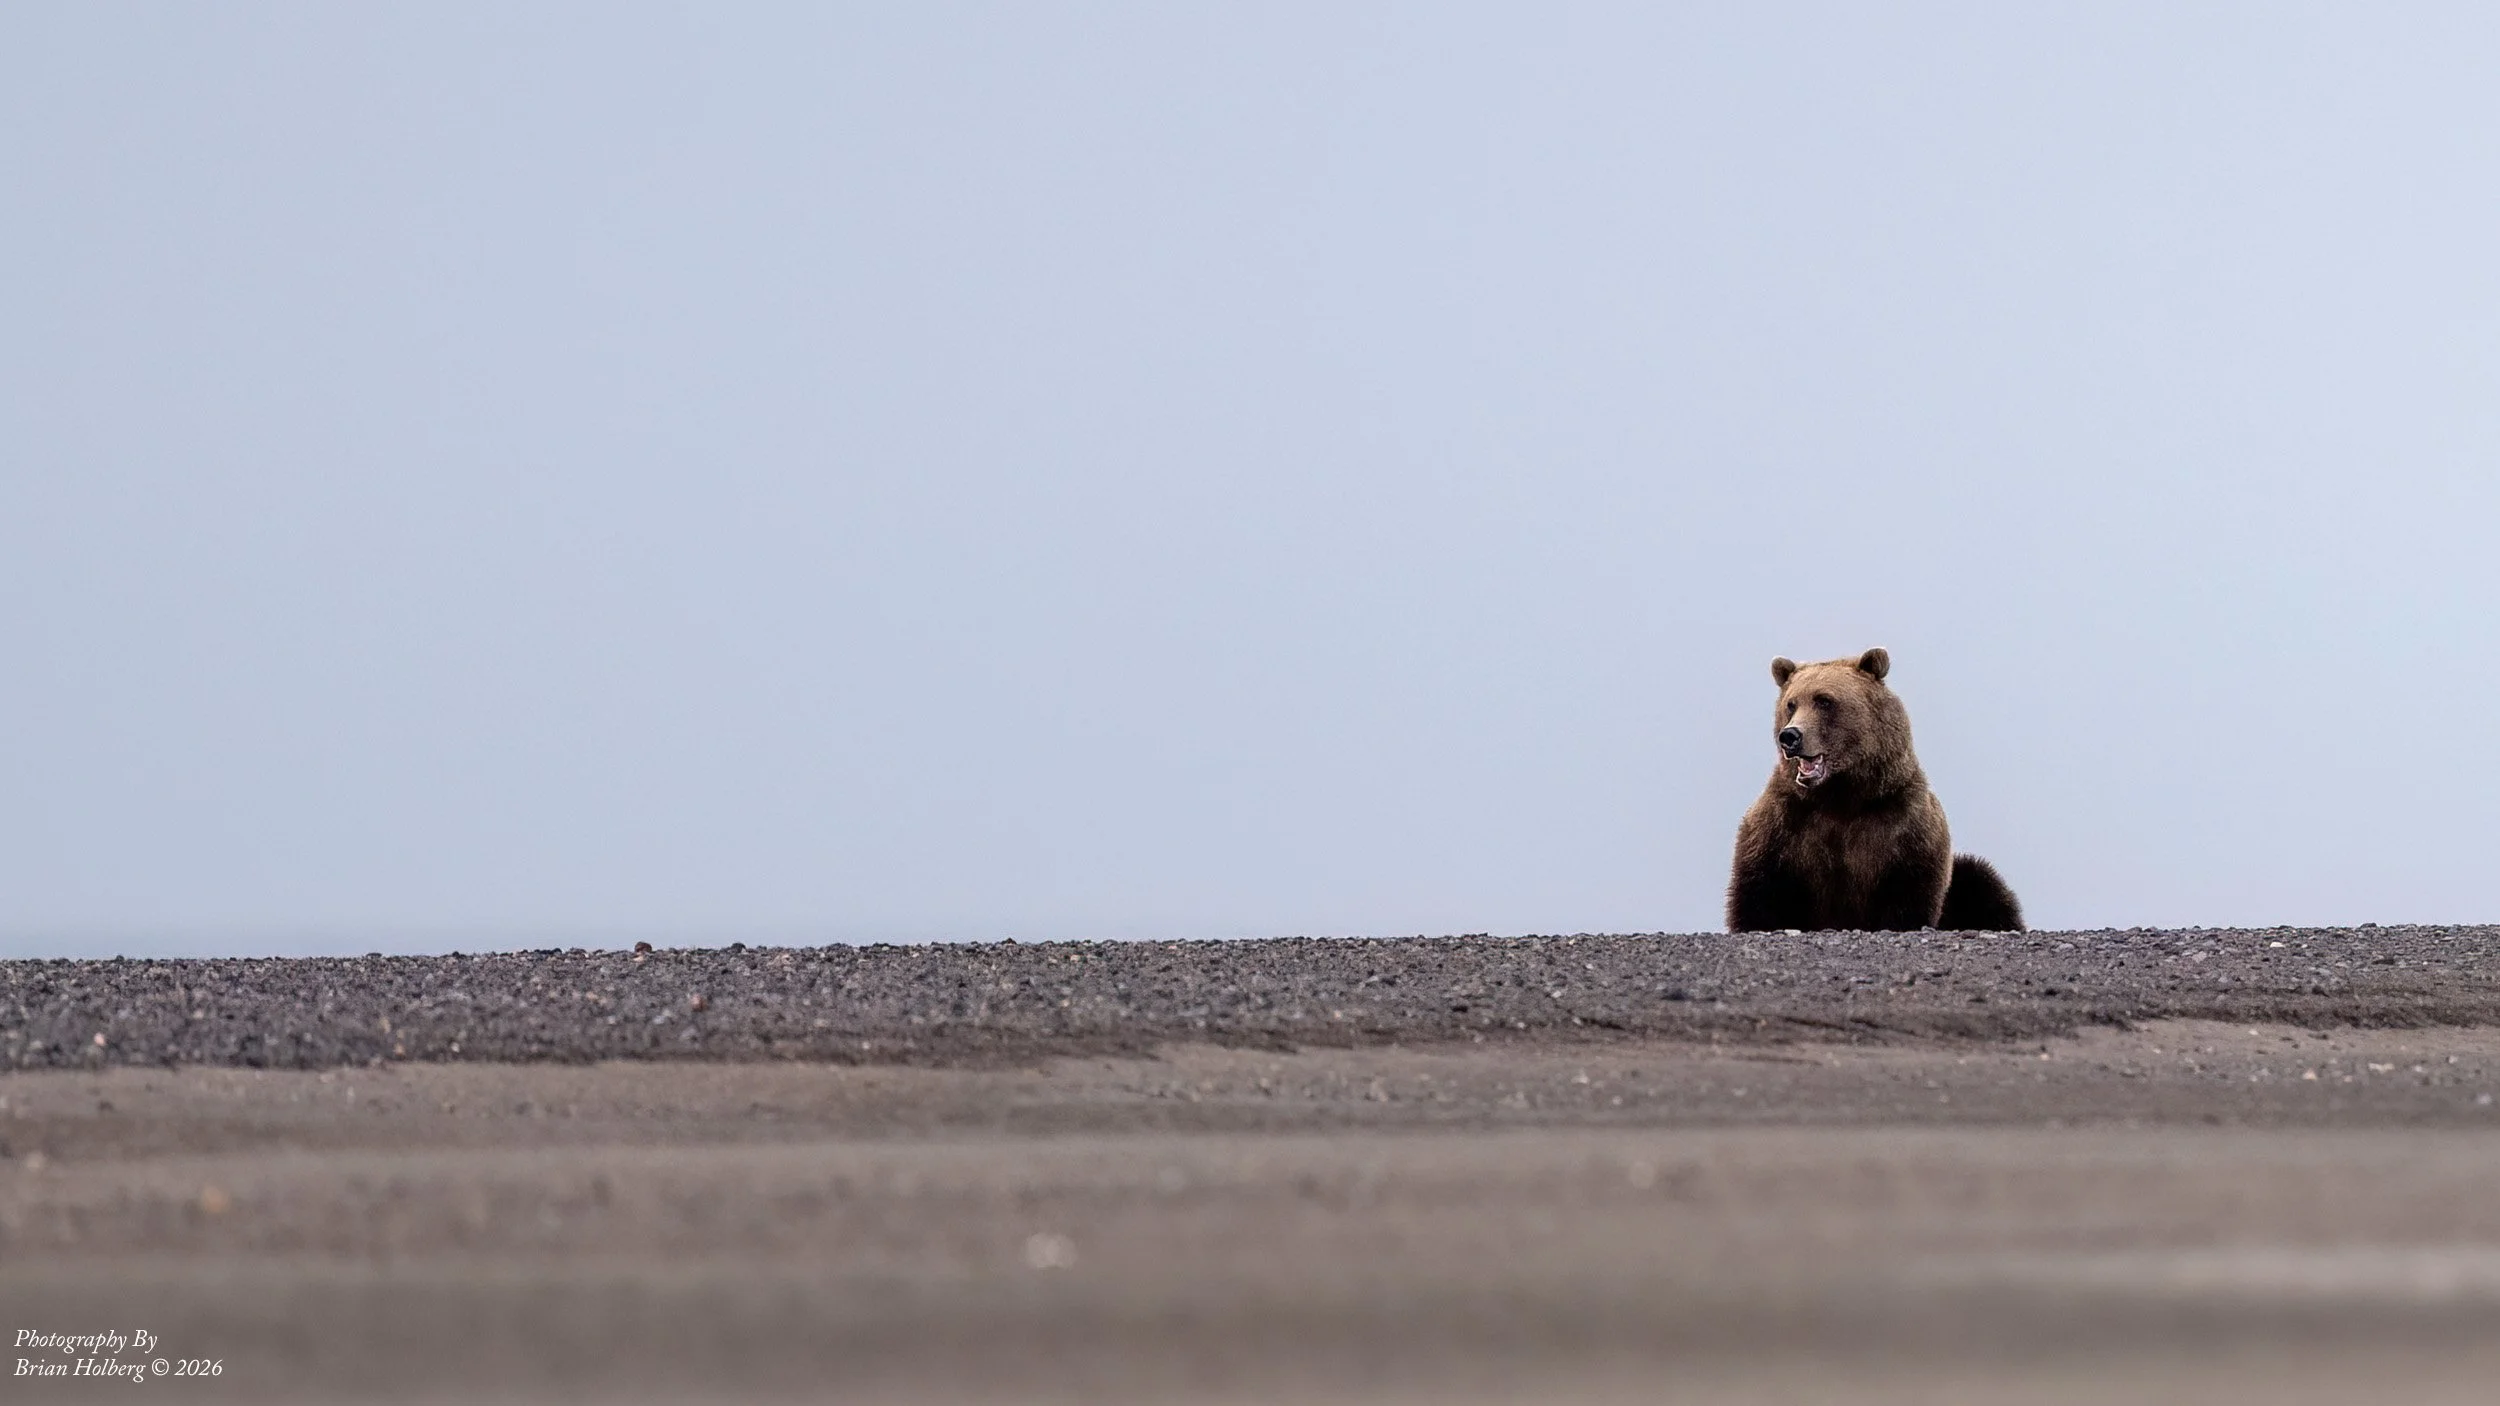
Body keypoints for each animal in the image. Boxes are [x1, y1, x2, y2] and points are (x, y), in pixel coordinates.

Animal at [1725, 647, 2023, 932]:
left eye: (1824, 700)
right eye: (1791, 704)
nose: (1790, 736)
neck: (1841, 796)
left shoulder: (1903, 826)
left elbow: (1908, 894)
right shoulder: (1786, 824)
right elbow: (1759, 892)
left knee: (1980, 880)